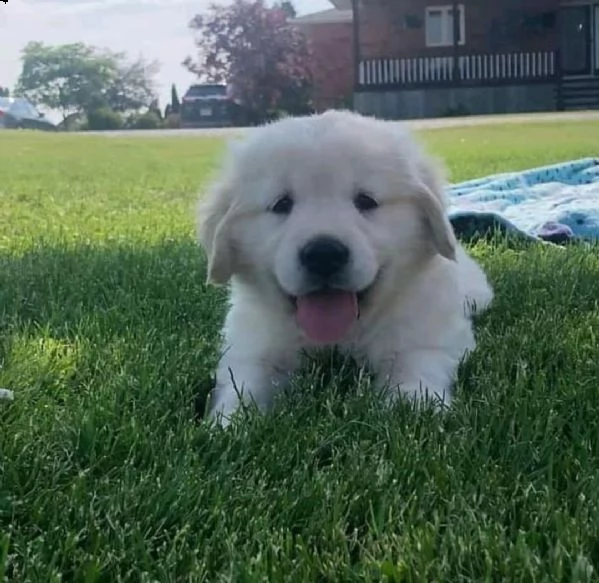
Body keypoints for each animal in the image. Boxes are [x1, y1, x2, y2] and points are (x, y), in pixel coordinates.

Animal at [197, 110, 492, 428]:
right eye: (281, 204)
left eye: (366, 200)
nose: (323, 254)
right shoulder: (252, 343)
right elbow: (244, 381)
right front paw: (230, 422)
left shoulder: (426, 328)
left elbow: (416, 362)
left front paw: (412, 407)